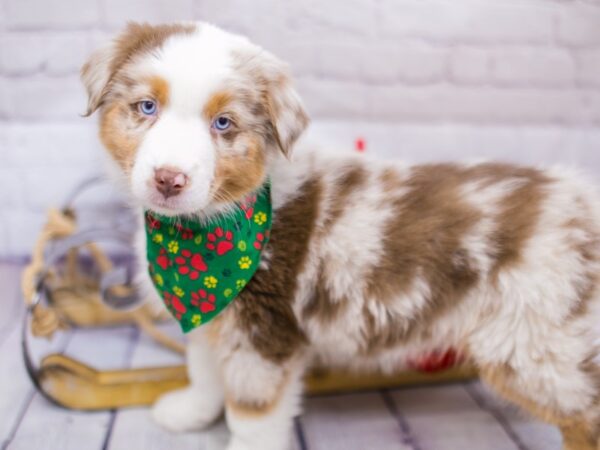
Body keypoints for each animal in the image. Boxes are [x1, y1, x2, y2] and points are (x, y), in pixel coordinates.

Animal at [82, 22, 600, 450]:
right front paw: (190, 412)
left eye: (223, 123)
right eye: (147, 107)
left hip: (535, 345)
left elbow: (252, 415)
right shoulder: (215, 319)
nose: (169, 179)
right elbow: (205, 371)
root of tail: (583, 202)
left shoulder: (265, 334)